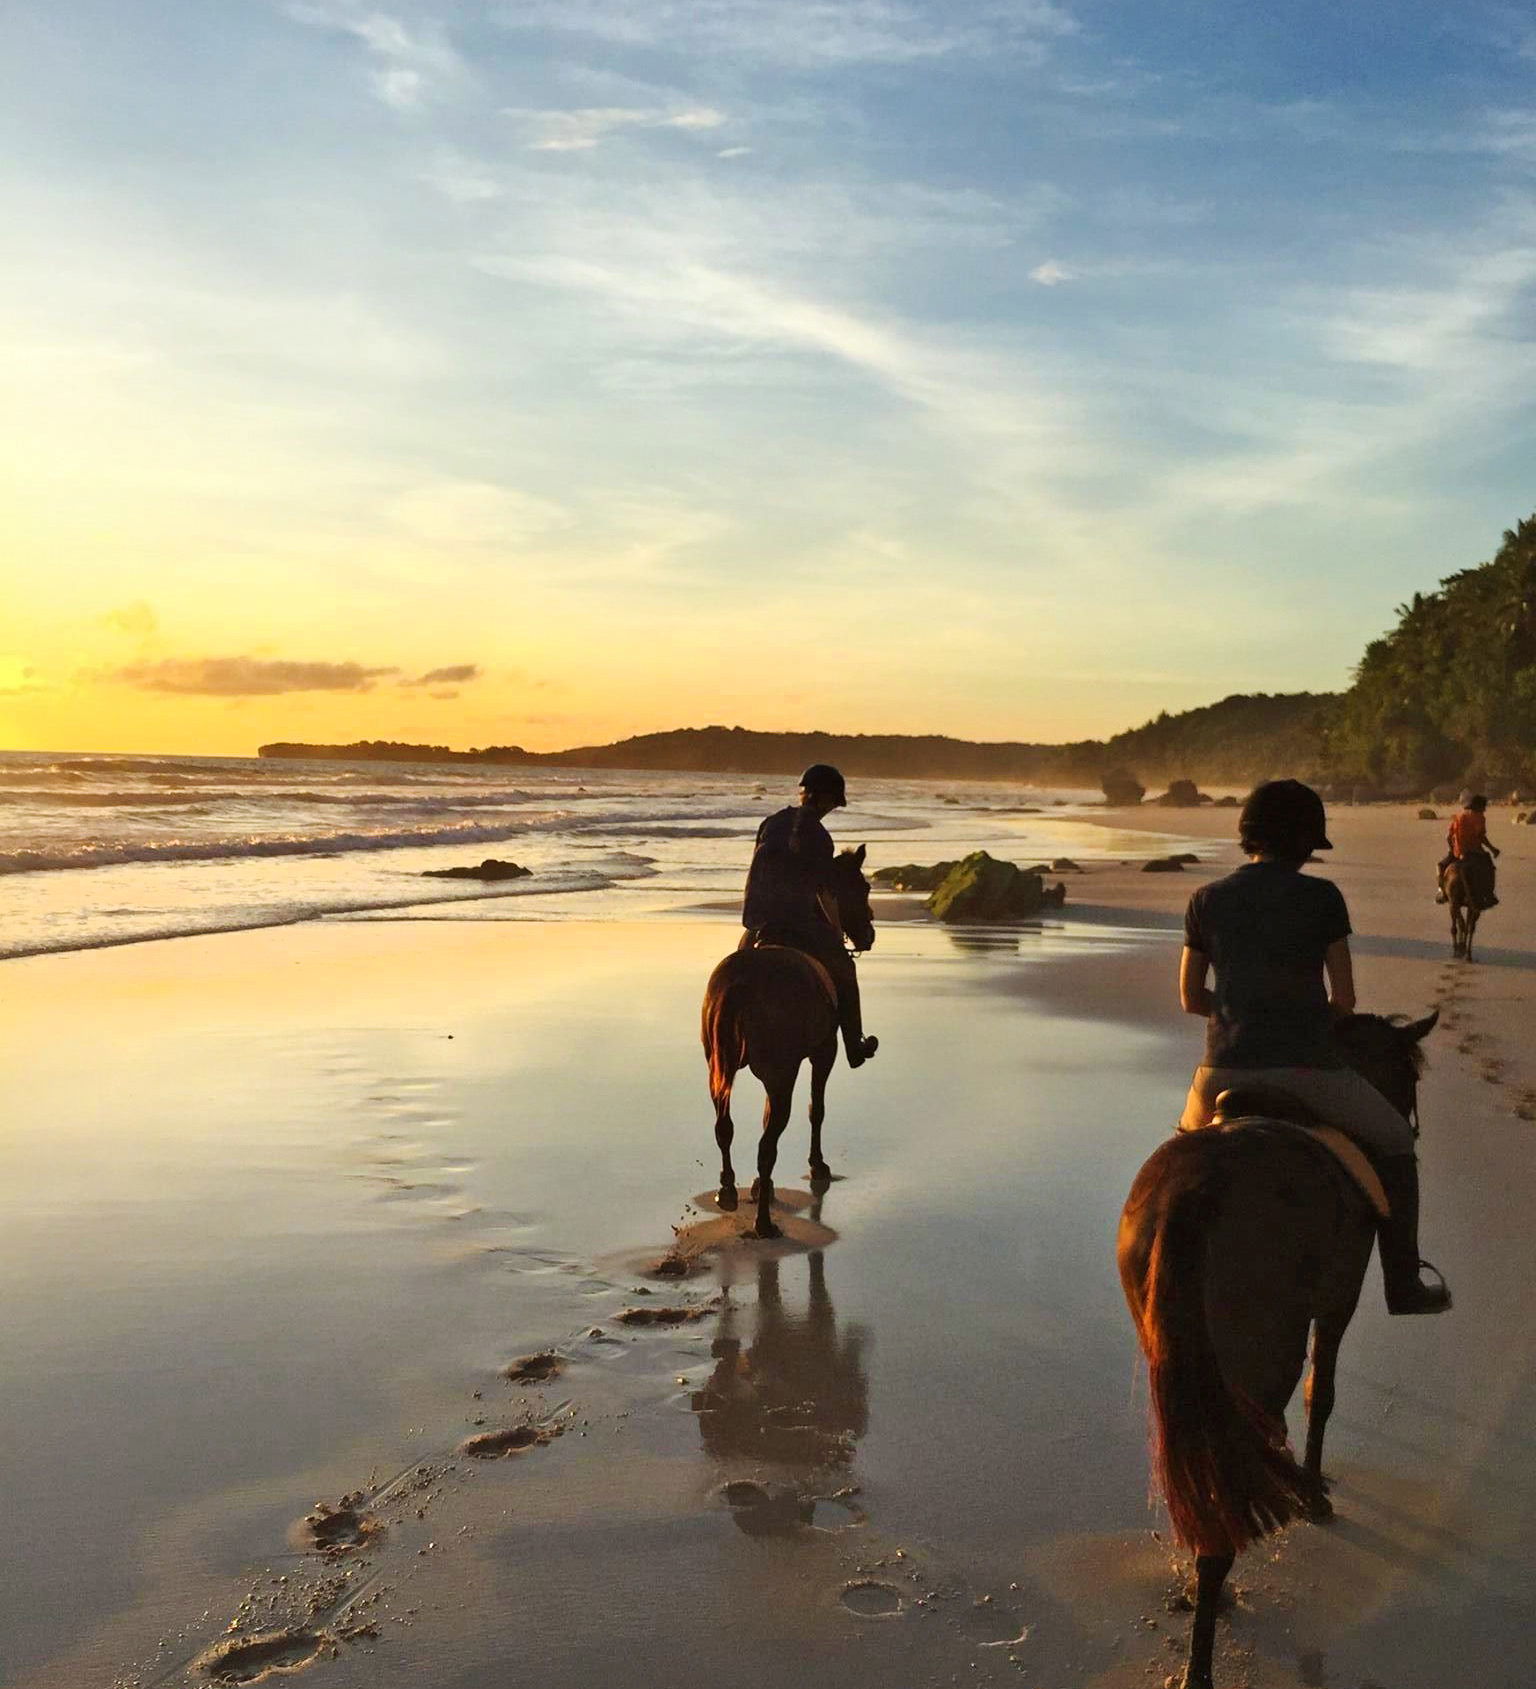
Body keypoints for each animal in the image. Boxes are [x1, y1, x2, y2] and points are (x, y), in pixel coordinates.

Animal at [700, 846, 875, 1240]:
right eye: (864, 888)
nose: (869, 934)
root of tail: (741, 984)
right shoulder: (823, 1054)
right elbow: (817, 1109)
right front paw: (818, 1165)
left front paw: (756, 1187)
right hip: (783, 1075)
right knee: (767, 1145)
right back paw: (763, 1223)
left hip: (721, 1072)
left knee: (725, 1128)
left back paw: (728, 1192)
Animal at [1117, 1010, 1437, 1689]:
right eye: (1408, 1075)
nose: (1413, 1123)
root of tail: (1201, 1190)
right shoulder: (1338, 1299)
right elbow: (1323, 1395)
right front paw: (1314, 1496)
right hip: (1265, 1354)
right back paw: (1203, 1657)